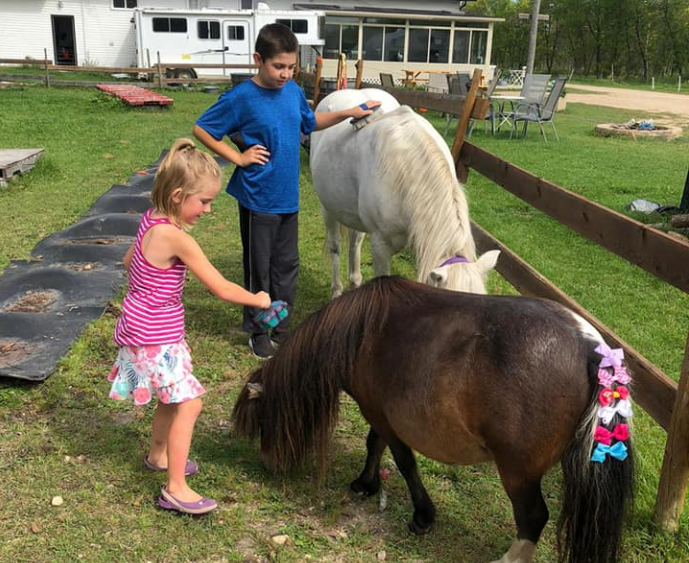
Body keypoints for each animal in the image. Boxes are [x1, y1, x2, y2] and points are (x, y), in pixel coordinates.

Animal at [234, 276, 635, 563]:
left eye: (263, 422)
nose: (268, 464)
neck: (359, 331)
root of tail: (589, 348)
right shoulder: (377, 411)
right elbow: (375, 445)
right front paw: (366, 484)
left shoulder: (381, 414)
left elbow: (402, 461)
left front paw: (422, 515)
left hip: (518, 473)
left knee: (533, 517)